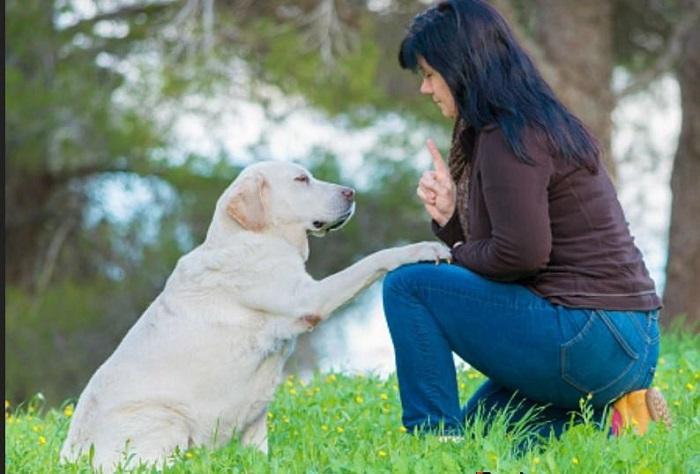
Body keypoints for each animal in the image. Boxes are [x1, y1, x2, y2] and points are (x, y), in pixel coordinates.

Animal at [60, 161, 448, 472]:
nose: (351, 192)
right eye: (301, 179)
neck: (253, 236)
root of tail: (70, 457)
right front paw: (420, 248)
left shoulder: (256, 415)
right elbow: (371, 260)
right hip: (165, 418)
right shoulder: (308, 298)